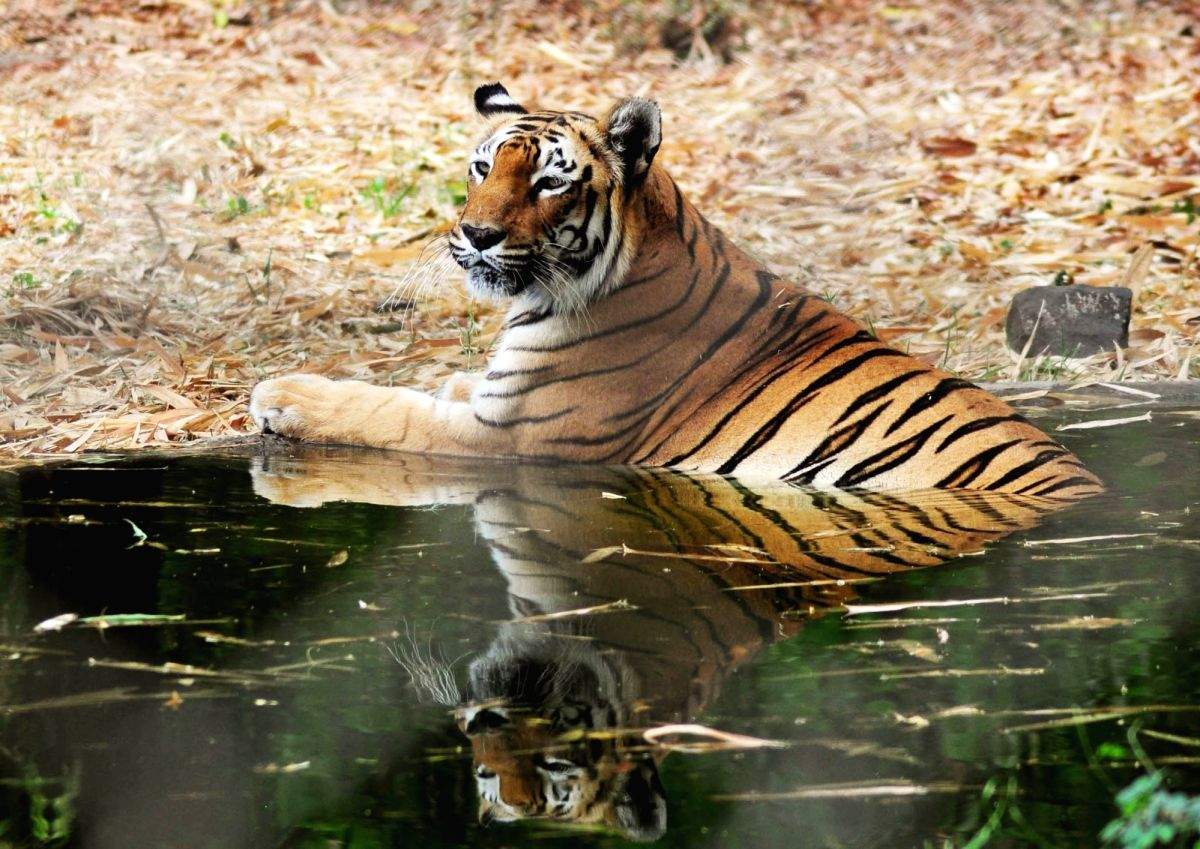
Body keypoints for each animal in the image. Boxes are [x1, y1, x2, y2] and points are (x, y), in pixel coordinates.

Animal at [248, 82, 1102, 497]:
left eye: (549, 182)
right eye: (483, 167)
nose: (477, 235)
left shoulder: (510, 440)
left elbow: (386, 411)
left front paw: (283, 394)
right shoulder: (497, 399)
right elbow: (444, 384)